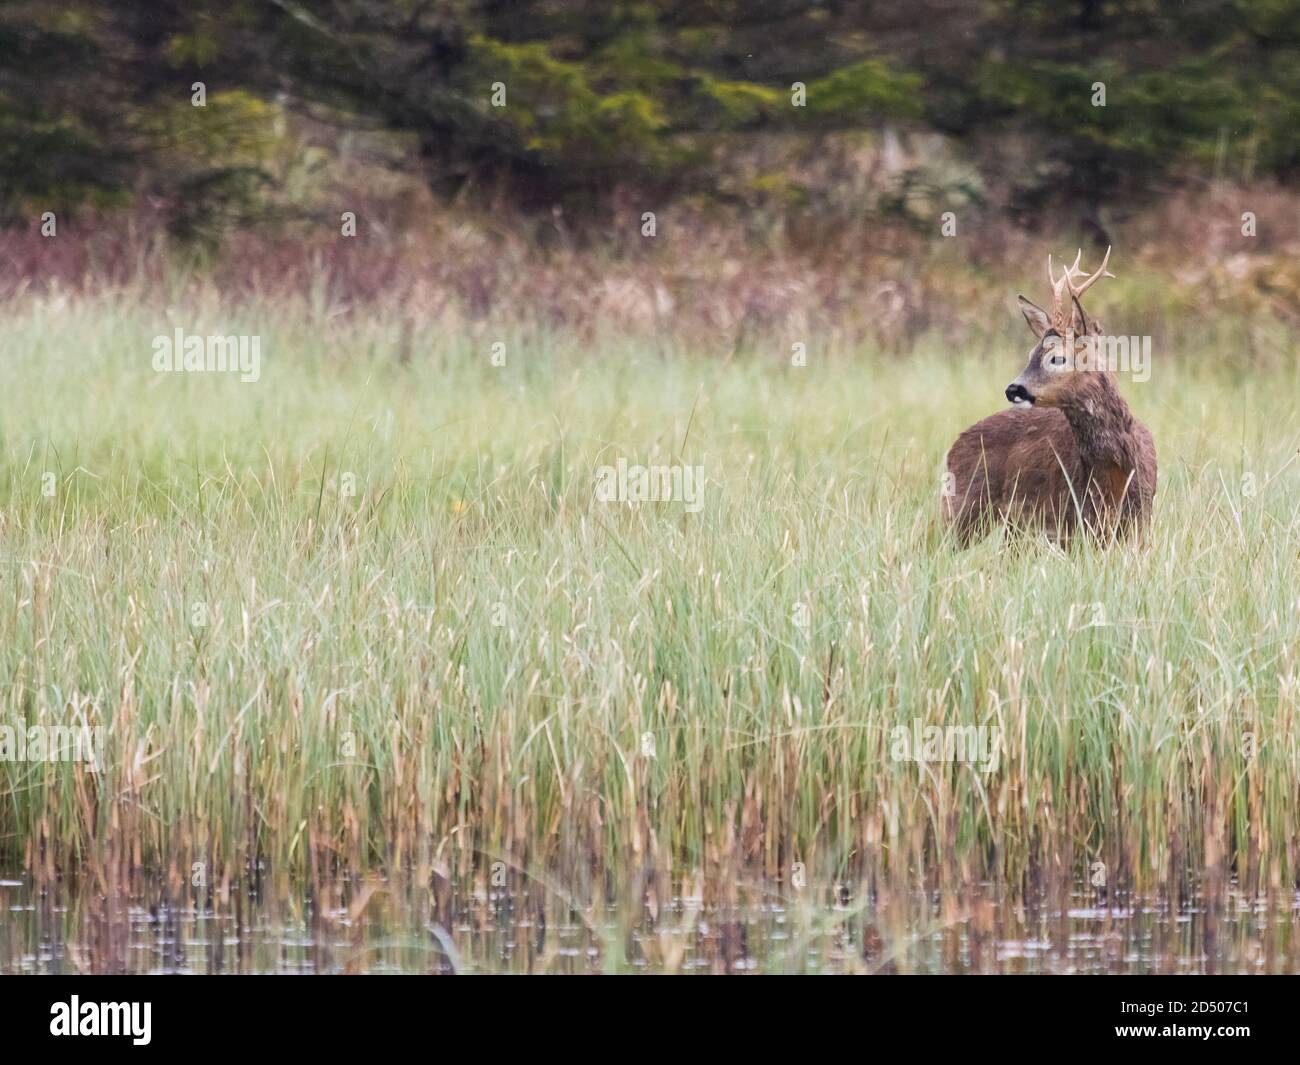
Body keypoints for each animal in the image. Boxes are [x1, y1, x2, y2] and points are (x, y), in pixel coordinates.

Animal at [943, 247, 1156, 544]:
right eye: (1031, 353)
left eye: (1057, 358)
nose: (1013, 389)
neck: (1118, 475)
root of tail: (953, 447)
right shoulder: (1070, 521)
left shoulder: (1139, 523)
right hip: (963, 508)